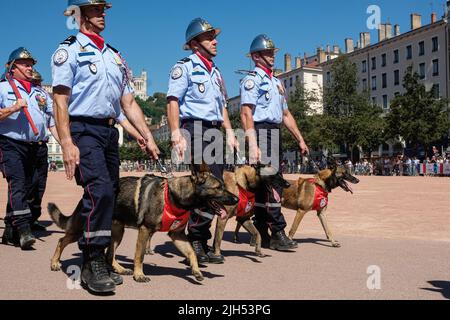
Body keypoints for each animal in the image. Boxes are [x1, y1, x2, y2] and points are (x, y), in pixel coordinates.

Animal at [48, 168, 239, 282]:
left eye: (223, 185)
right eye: (218, 187)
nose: (237, 199)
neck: (174, 196)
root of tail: (85, 197)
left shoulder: (177, 235)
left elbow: (191, 252)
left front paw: (196, 270)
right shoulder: (145, 231)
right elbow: (139, 255)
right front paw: (139, 274)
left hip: (117, 232)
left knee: (110, 254)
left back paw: (119, 269)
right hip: (82, 229)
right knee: (61, 241)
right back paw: (55, 263)